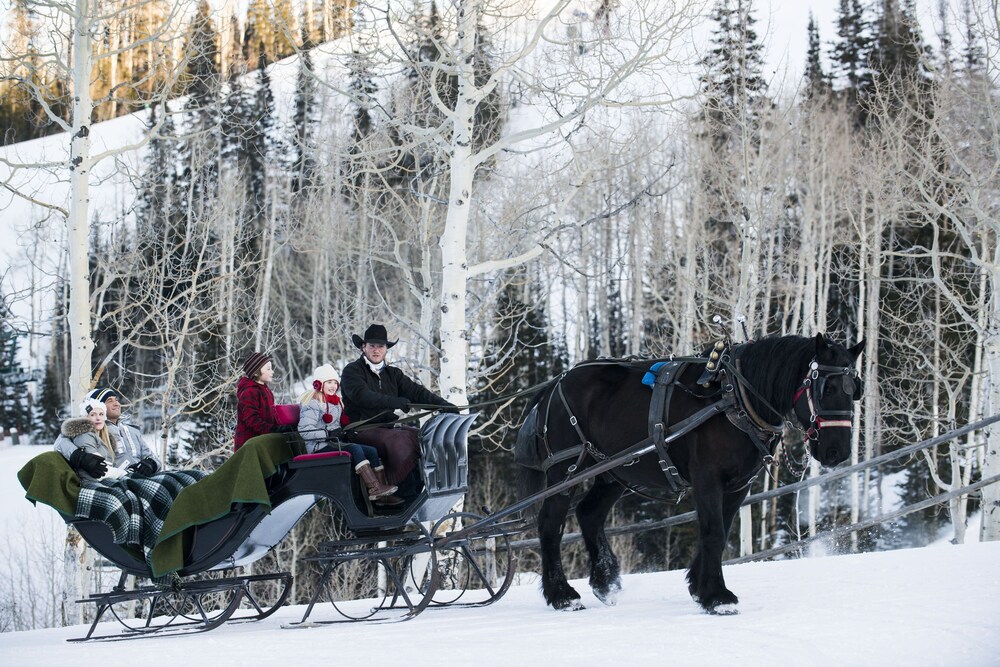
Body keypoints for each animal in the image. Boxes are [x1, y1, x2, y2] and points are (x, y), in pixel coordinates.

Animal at [520, 334, 864, 616]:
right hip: (566, 470)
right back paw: (562, 595)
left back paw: (605, 582)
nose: (837, 451)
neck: (734, 397)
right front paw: (718, 597)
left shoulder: (738, 486)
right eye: (826, 387)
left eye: (855, 390)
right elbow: (713, 532)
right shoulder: (707, 478)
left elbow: (721, 531)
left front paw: (700, 587)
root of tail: (554, 385)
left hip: (614, 471)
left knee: (589, 514)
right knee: (550, 523)